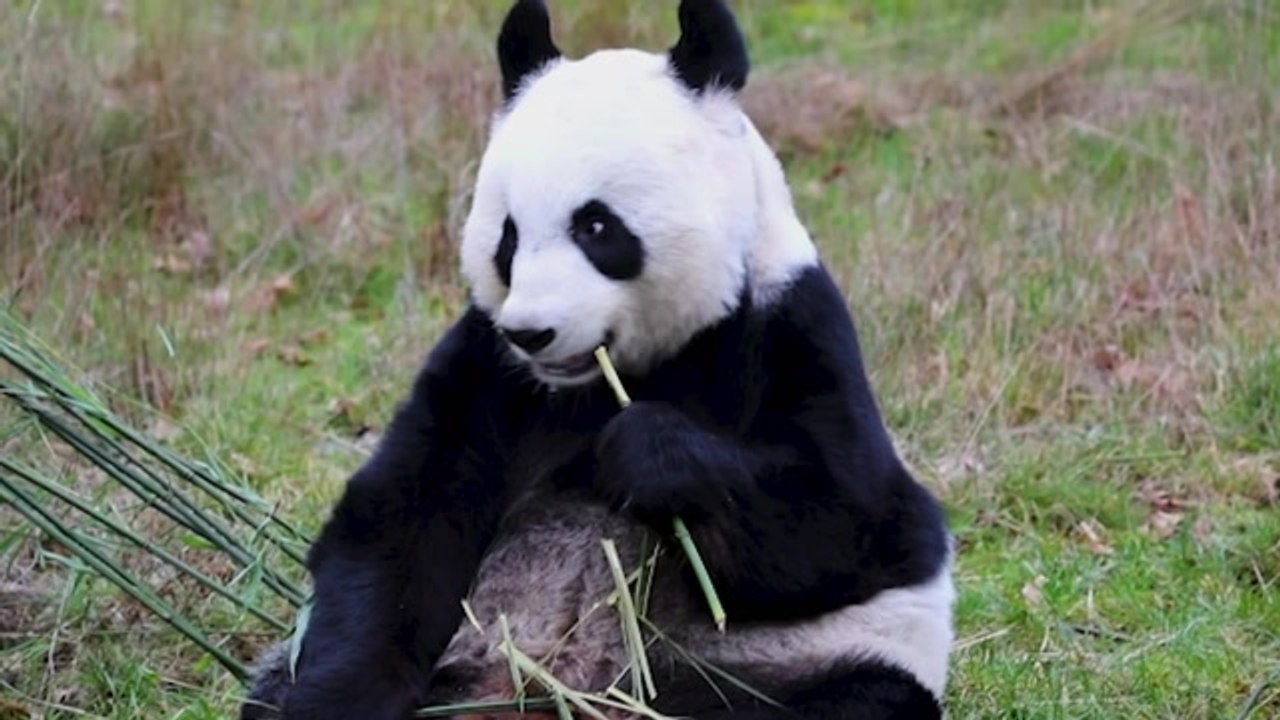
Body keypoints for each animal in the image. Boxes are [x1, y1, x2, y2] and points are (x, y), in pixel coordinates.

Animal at [242, 1, 954, 718]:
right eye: (508, 237)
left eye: (597, 227)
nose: (532, 332)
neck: (616, 374)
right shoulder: (484, 365)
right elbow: (401, 521)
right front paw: (336, 699)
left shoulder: (789, 326)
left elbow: (862, 522)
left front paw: (645, 449)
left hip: (755, 668)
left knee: (861, 695)